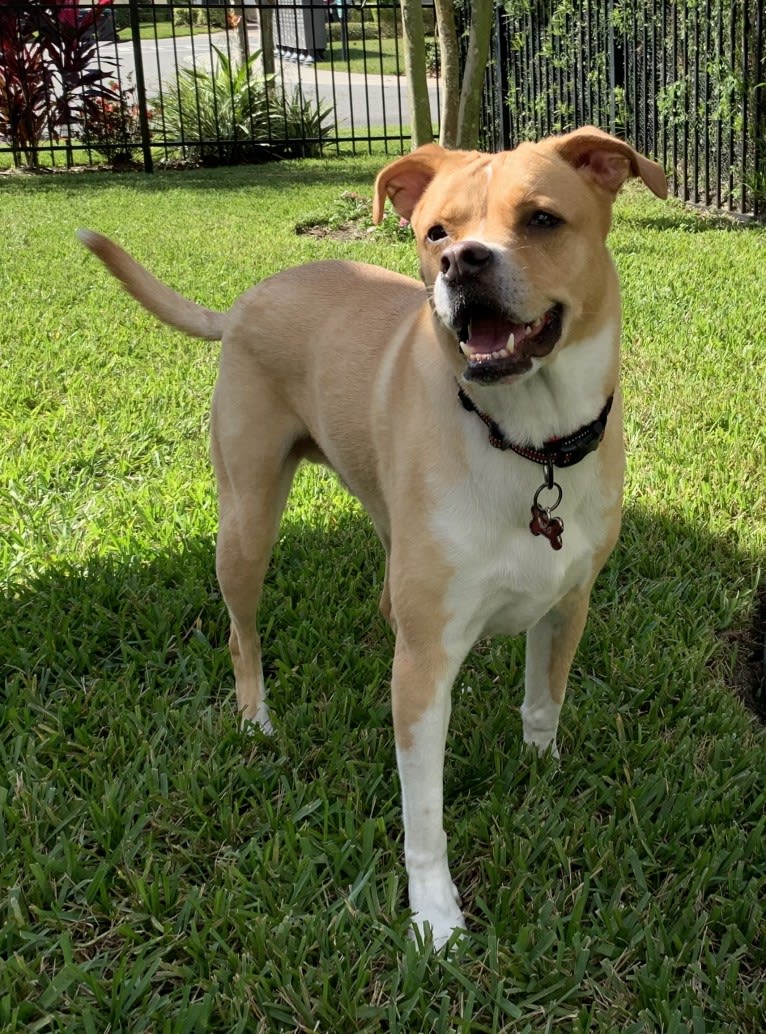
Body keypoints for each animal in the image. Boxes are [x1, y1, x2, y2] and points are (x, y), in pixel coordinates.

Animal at [77, 127, 661, 947]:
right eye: (436, 232)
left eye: (543, 219)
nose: (461, 262)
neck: (528, 443)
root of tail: (244, 301)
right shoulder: (421, 669)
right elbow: (425, 813)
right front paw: (435, 916)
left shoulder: (567, 602)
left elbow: (543, 704)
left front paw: (542, 771)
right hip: (246, 522)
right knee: (240, 631)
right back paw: (256, 719)